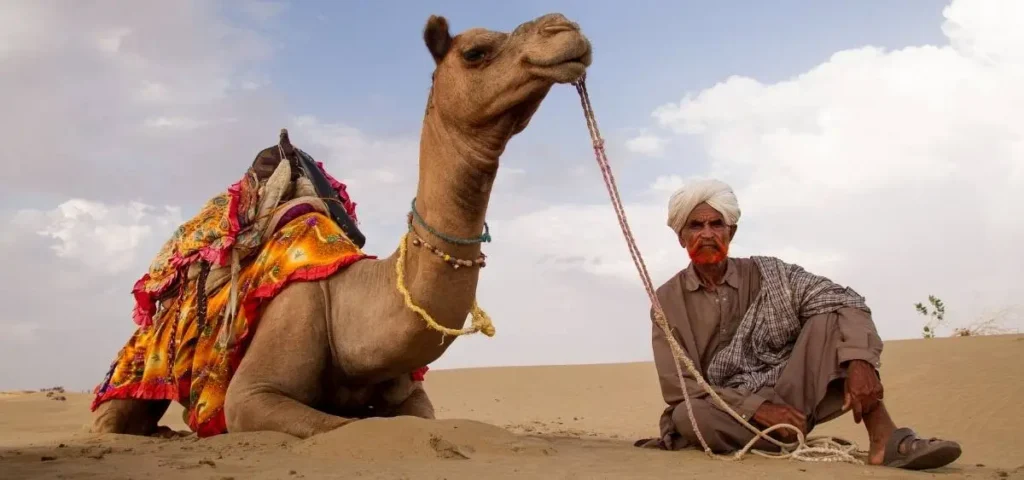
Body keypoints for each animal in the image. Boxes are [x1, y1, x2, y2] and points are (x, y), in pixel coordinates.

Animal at [90, 13, 593, 439]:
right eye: (475, 51)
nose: (565, 28)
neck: (352, 305)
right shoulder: (252, 390)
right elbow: (341, 426)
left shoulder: (412, 396)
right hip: (138, 363)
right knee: (115, 419)